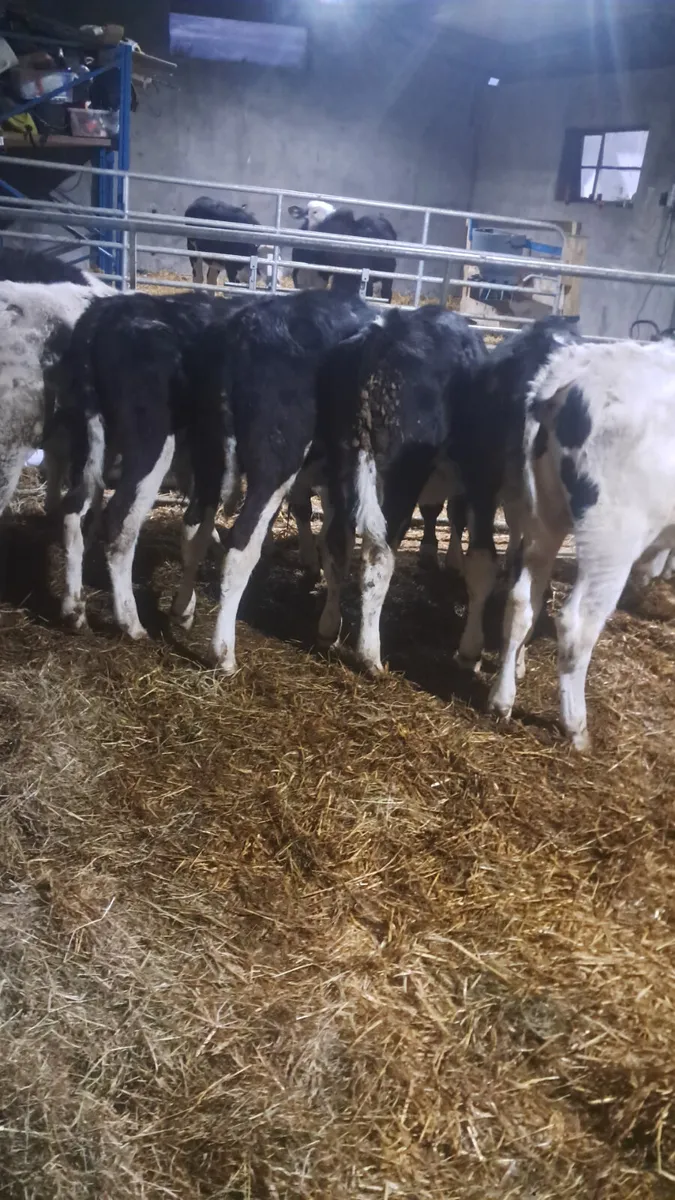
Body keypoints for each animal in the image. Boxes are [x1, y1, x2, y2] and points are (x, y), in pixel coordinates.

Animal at [488, 337, 675, 750]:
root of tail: (570, 371)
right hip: (612, 538)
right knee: (577, 624)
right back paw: (577, 729)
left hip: (543, 519)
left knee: (522, 601)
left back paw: (502, 700)